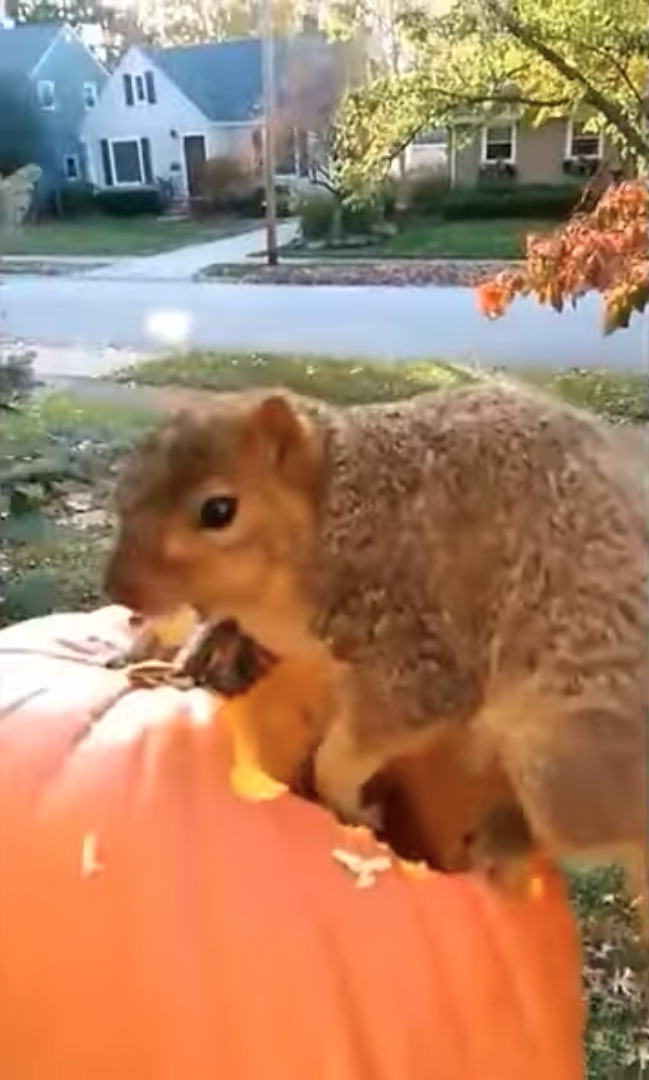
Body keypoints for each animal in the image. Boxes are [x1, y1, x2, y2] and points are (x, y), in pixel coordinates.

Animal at [105, 384, 647, 907]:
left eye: (219, 511)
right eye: (126, 484)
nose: (117, 589)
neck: (338, 514)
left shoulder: (414, 654)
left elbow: (361, 743)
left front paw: (348, 803)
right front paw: (195, 647)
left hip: (562, 754)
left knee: (574, 831)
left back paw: (507, 841)